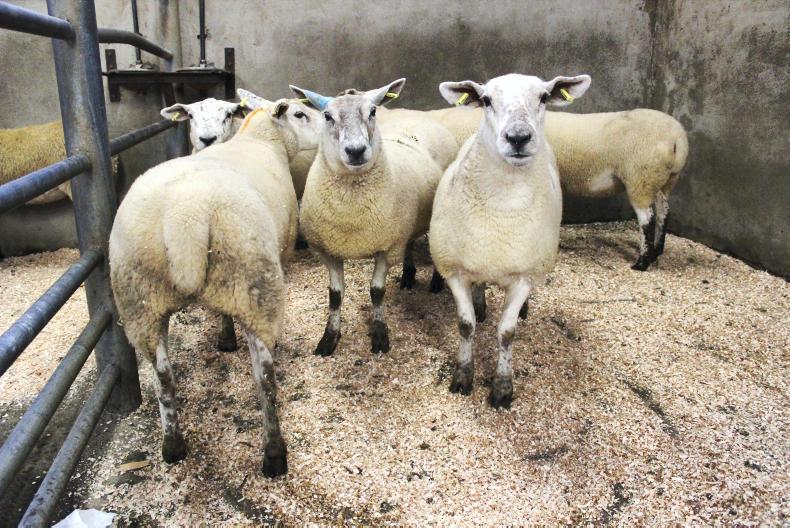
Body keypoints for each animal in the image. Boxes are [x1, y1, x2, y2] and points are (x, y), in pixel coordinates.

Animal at [109, 99, 320, 476]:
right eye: (300, 114)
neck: (262, 140)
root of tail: (185, 216)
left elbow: (221, 312)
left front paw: (224, 338)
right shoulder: (281, 255)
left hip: (140, 303)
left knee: (163, 378)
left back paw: (173, 446)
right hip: (255, 283)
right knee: (265, 380)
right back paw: (274, 454)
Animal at [290, 79, 458, 355]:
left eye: (373, 112)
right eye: (327, 116)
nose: (356, 151)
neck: (351, 213)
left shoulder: (387, 248)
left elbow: (377, 291)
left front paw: (379, 334)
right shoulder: (328, 251)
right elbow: (335, 296)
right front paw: (329, 337)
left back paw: (435, 281)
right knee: (410, 241)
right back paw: (408, 275)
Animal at [430, 72, 591, 408]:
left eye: (544, 97)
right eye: (486, 100)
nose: (518, 137)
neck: (502, 212)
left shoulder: (524, 276)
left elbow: (506, 332)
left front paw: (503, 387)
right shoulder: (455, 270)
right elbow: (465, 325)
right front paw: (462, 376)